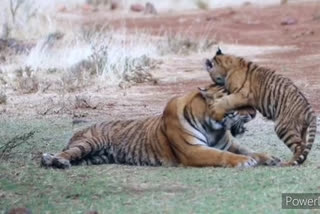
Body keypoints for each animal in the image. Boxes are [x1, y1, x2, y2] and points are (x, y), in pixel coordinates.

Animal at [40, 83, 280, 169]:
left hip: (95, 156)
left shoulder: (229, 144)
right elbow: (223, 156)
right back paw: (56, 161)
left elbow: (250, 150)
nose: (254, 113)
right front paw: (244, 162)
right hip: (90, 142)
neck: (215, 126)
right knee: (65, 153)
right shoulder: (193, 151)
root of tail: (79, 131)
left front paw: (269, 157)